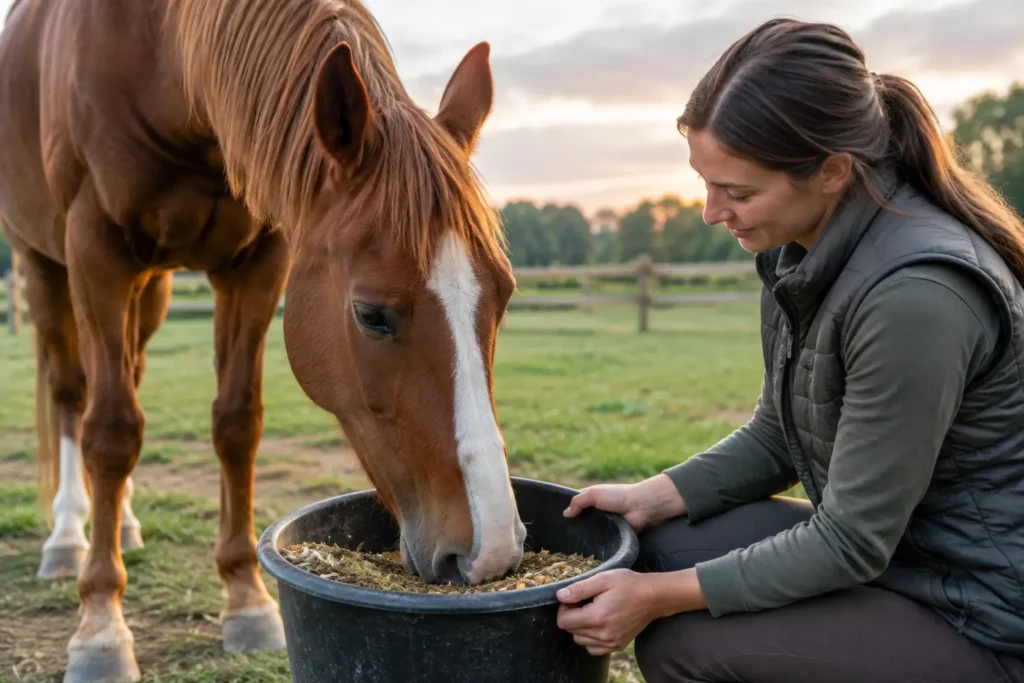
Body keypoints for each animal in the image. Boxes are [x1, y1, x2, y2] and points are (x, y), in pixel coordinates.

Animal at [0, 0, 526, 679]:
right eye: (371, 314)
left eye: (504, 295)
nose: (492, 551)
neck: (162, 55)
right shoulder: (97, 251)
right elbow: (111, 434)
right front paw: (100, 628)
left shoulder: (257, 263)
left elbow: (236, 425)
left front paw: (247, 600)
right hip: (46, 267)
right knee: (73, 396)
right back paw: (67, 536)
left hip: (151, 290)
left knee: (129, 373)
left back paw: (126, 524)